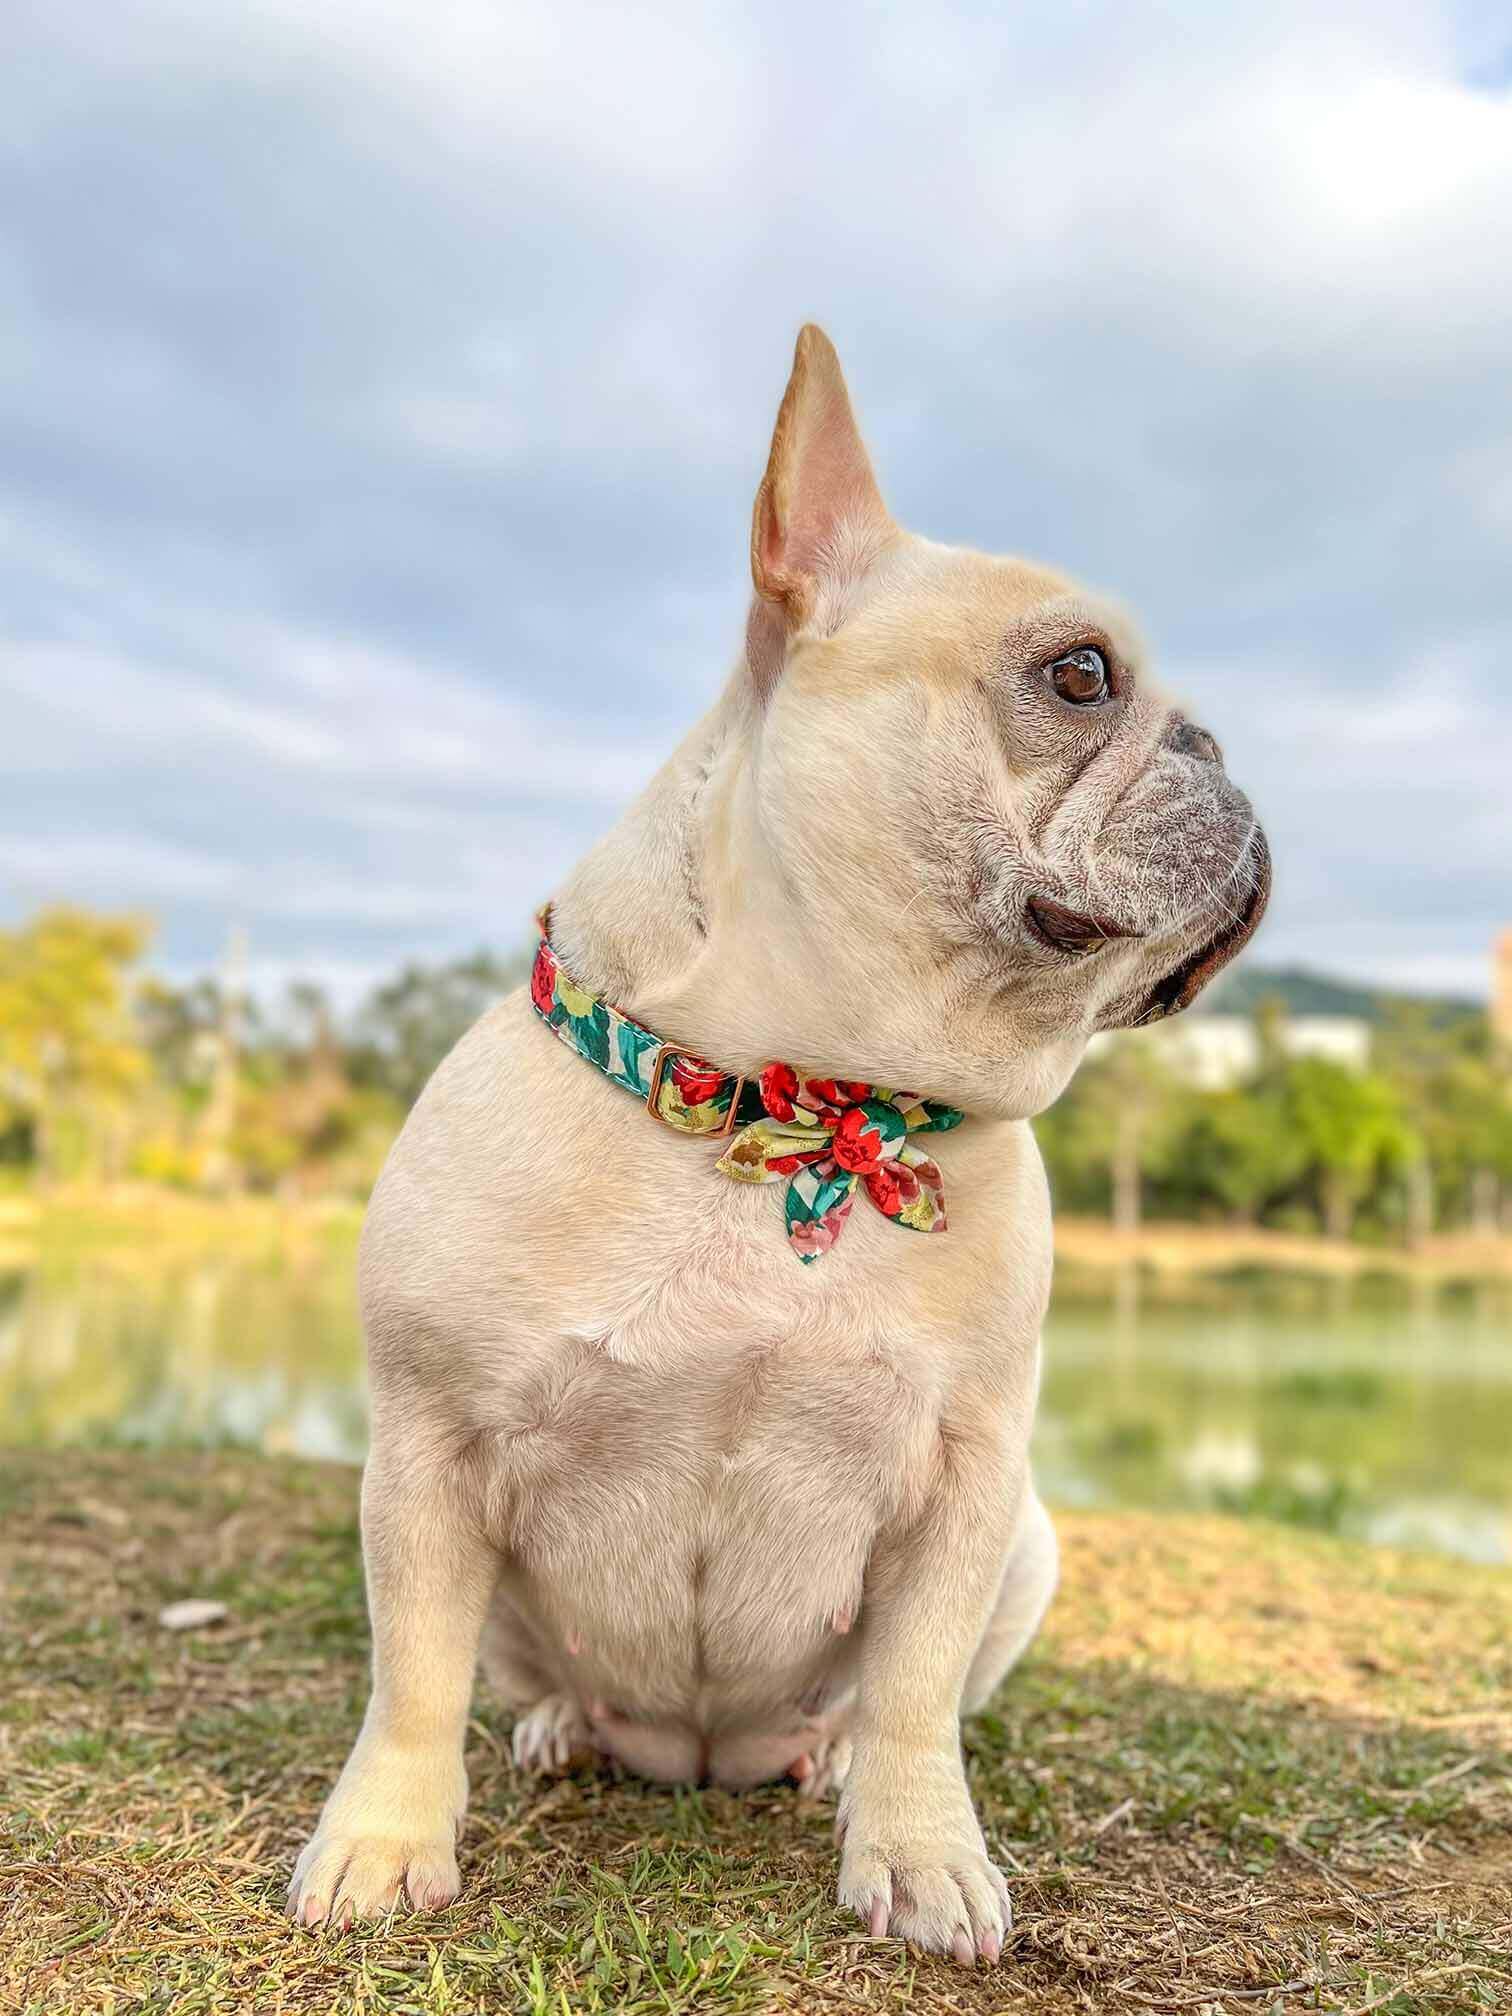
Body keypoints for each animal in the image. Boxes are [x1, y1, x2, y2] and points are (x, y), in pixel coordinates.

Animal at [284, 326, 1266, 1951]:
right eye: (1080, 675)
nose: (1222, 746)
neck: (792, 1103)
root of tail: (701, 1753)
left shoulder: (967, 1485)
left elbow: (919, 1689)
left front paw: (921, 1853)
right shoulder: (425, 1454)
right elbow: (411, 1674)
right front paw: (380, 1843)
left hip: (1029, 1545)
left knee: (875, 1702)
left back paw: (830, 1761)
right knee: (518, 1675)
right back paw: (563, 1729)